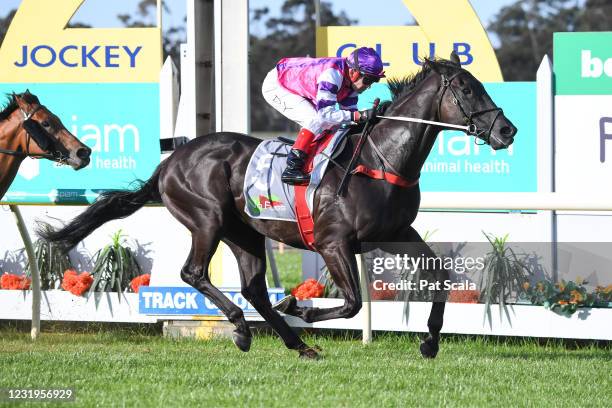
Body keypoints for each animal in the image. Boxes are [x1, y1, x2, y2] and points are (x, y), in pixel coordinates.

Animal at [39, 52, 516, 358]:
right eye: (468, 90)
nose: (507, 131)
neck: (379, 160)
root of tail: (172, 158)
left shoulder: (396, 234)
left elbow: (440, 275)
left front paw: (430, 341)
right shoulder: (333, 243)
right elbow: (352, 303)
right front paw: (299, 305)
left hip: (246, 232)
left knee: (252, 288)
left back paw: (296, 343)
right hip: (208, 220)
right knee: (194, 273)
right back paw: (244, 328)